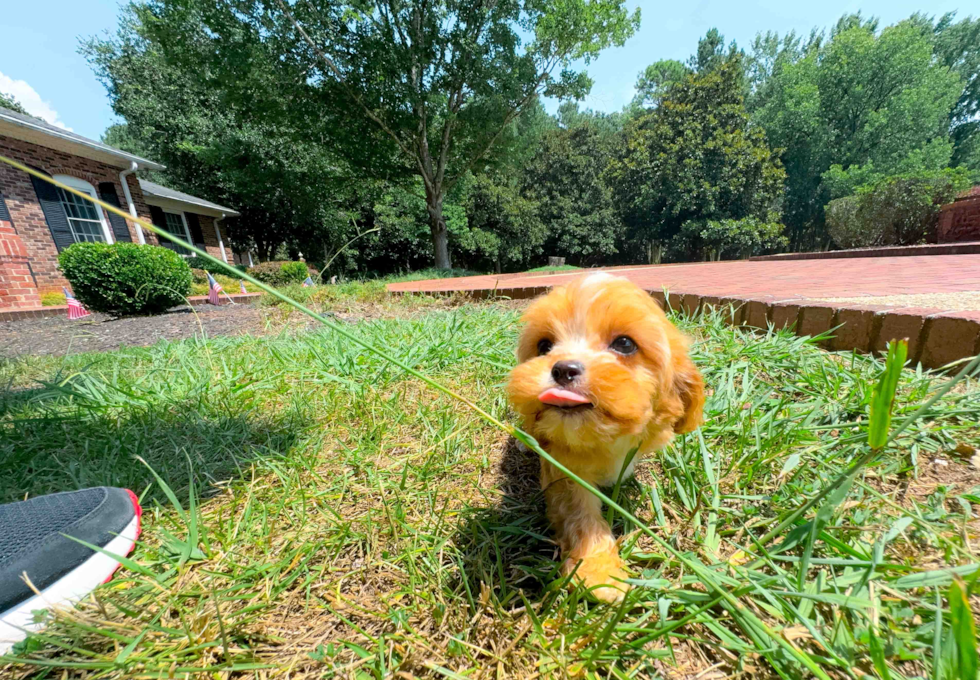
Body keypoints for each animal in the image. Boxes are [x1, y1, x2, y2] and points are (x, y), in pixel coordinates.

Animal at [506, 270, 704, 600]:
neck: (601, 438)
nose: (563, 369)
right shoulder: (564, 470)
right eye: (544, 345)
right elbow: (581, 515)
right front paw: (599, 572)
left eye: (624, 344)